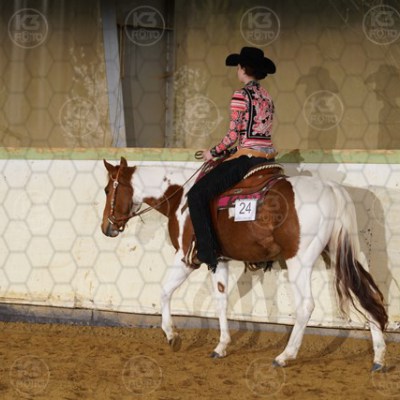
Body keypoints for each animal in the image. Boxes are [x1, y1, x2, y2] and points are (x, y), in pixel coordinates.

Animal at [101, 156, 388, 371]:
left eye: (107, 190)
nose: (106, 228)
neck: (179, 196)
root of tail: (331, 189)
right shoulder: (219, 260)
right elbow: (221, 300)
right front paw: (221, 346)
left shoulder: (185, 257)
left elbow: (163, 292)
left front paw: (172, 335)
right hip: (344, 253)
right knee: (365, 294)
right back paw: (379, 358)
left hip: (300, 261)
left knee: (306, 305)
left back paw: (285, 356)